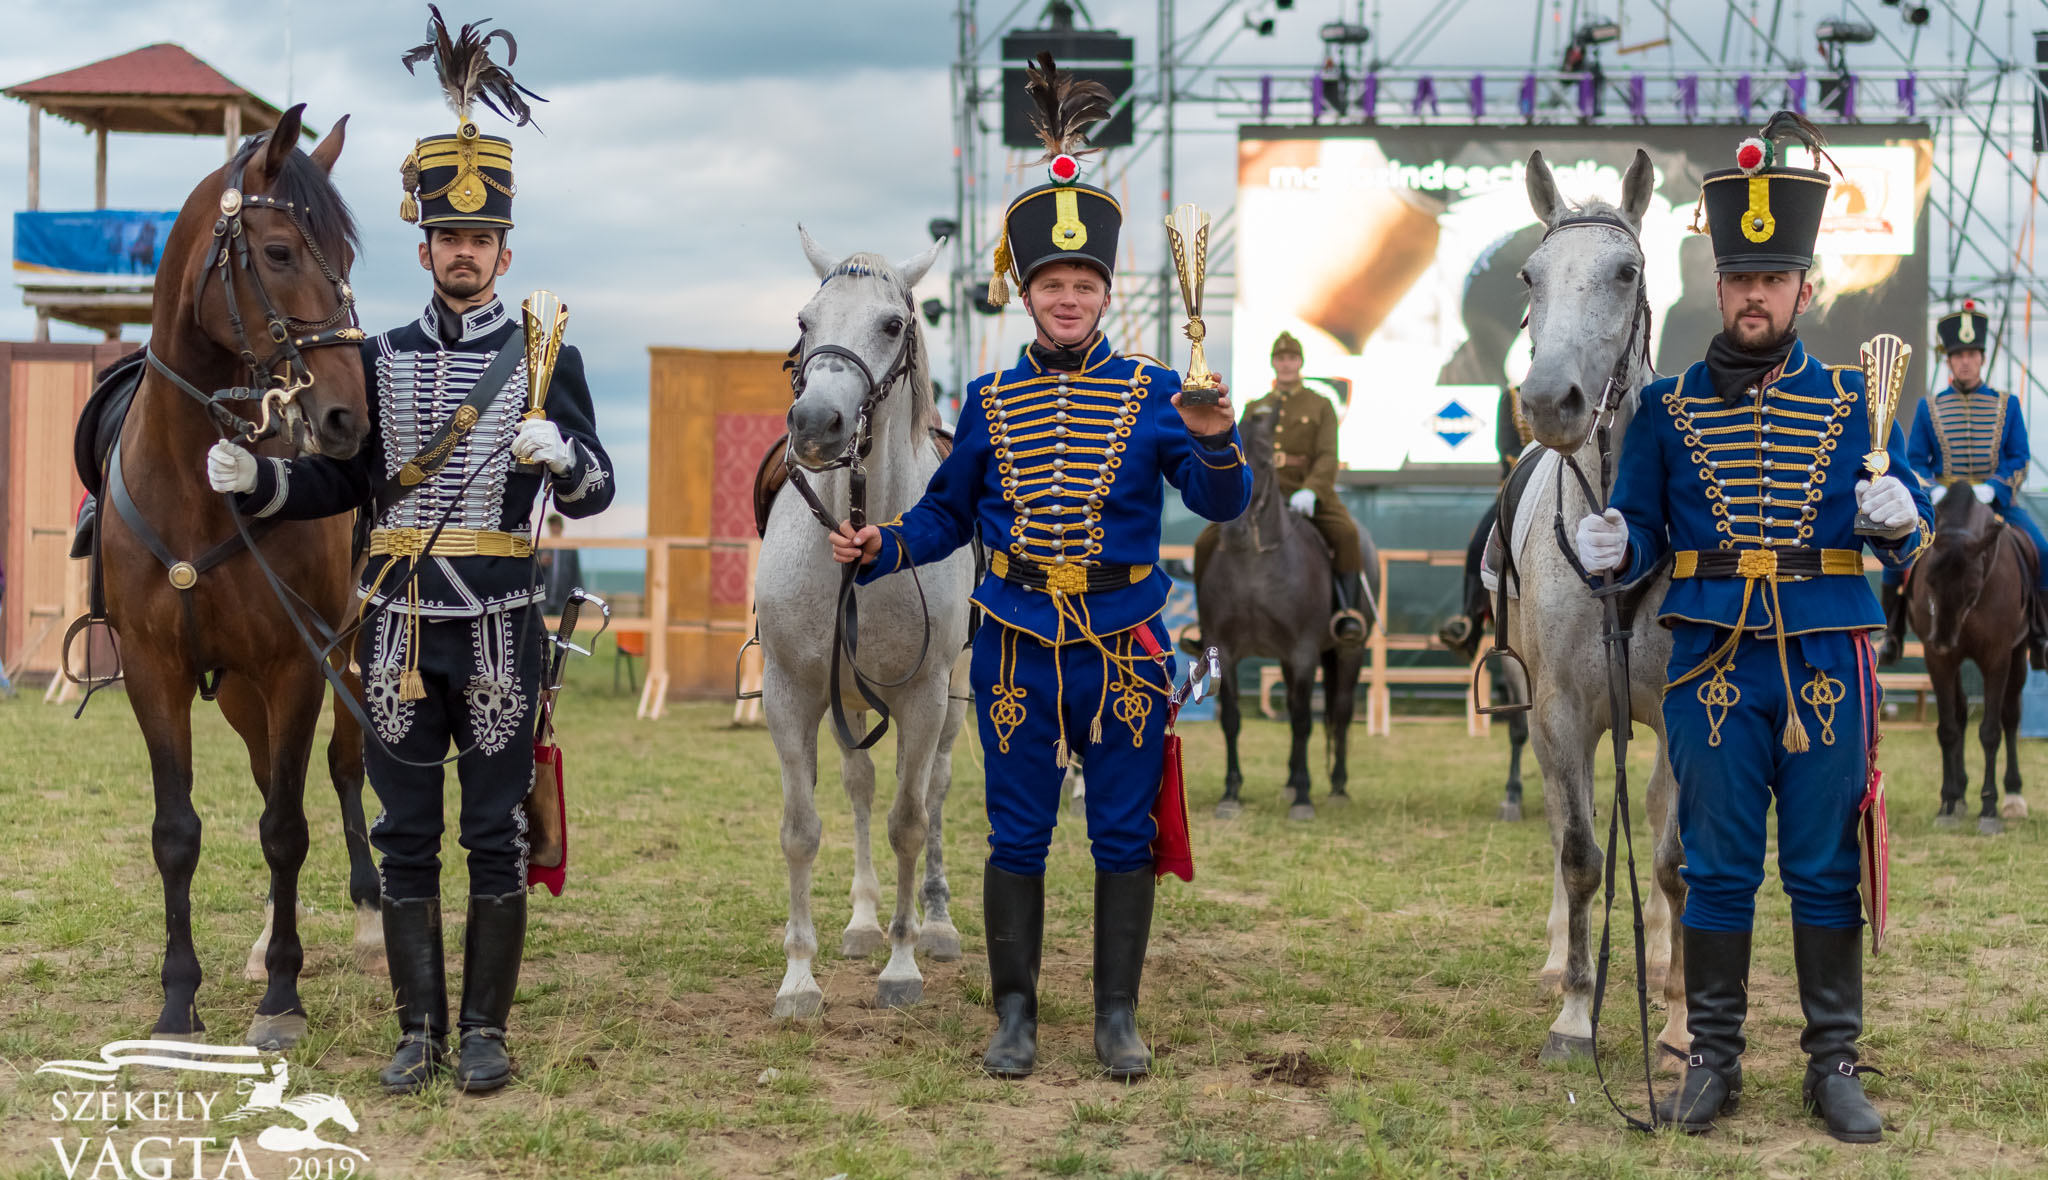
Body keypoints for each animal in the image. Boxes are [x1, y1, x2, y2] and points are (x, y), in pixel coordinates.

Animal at [89, 108, 380, 1048]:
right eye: (280, 250)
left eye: (350, 257)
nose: (347, 418)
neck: (195, 487)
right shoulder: (156, 670)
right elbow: (178, 832)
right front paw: (178, 1000)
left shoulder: (298, 665)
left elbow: (286, 828)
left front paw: (282, 998)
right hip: (245, 691)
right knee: (266, 779)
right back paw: (260, 942)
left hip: (344, 659)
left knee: (344, 766)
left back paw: (370, 918)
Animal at [757, 225, 970, 1020]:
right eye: (804, 321)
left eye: (891, 325)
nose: (817, 425)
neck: (860, 532)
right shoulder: (791, 693)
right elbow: (800, 831)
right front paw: (799, 978)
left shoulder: (923, 698)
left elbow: (909, 822)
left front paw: (902, 965)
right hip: (847, 698)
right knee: (857, 784)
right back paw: (860, 921)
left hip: (953, 699)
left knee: (933, 792)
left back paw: (934, 924)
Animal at [1187, 401, 1376, 815]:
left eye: (1265, 462)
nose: (1234, 532)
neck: (1255, 565)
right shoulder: (1223, 650)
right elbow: (1232, 719)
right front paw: (1231, 793)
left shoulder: (1303, 652)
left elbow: (1305, 720)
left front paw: (1304, 798)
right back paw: (1290, 783)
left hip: (1349, 651)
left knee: (1339, 712)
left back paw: (1337, 788)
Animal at [1900, 481, 2031, 839]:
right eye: (1929, 581)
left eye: (1973, 587)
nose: (1944, 640)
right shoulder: (1938, 662)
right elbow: (1947, 728)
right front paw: (1948, 802)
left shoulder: (1997, 657)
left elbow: (1990, 731)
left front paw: (1990, 807)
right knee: (1959, 715)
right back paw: (1959, 794)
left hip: (2019, 657)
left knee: (2010, 717)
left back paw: (2013, 796)